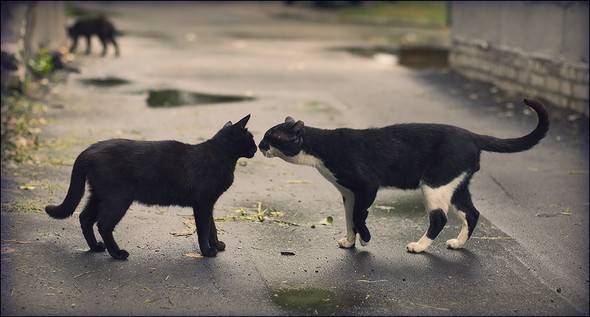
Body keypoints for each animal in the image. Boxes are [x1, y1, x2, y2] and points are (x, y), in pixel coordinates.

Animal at [46, 115, 256, 258]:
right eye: (251, 139)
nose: (255, 148)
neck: (220, 155)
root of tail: (89, 149)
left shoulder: (209, 204)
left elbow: (213, 227)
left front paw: (217, 245)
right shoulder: (203, 203)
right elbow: (204, 229)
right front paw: (207, 251)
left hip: (98, 196)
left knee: (84, 218)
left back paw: (96, 248)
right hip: (118, 199)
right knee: (103, 225)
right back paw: (117, 254)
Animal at [260, 99, 552, 252]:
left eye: (272, 138)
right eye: (264, 136)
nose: (260, 146)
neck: (324, 149)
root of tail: (472, 135)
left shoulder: (367, 186)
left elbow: (359, 216)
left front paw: (365, 239)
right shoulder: (348, 194)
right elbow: (350, 218)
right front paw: (350, 240)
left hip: (435, 185)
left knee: (439, 218)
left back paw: (419, 247)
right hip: (456, 186)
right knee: (472, 213)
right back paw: (458, 244)